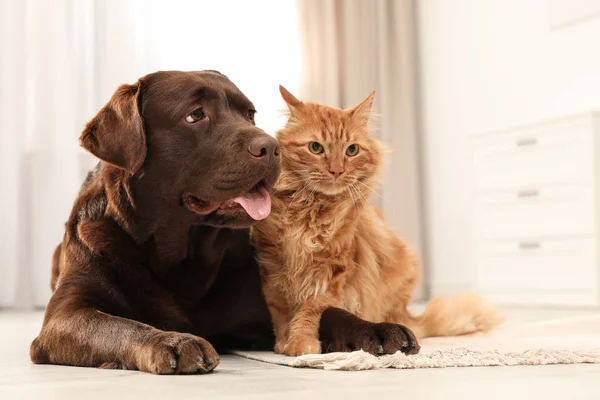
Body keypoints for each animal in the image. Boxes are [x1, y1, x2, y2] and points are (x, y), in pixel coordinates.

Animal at [251, 87, 504, 356]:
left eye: (352, 150)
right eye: (316, 147)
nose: (337, 171)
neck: (312, 209)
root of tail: (405, 314)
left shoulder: (333, 271)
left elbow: (311, 310)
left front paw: (301, 343)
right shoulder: (272, 265)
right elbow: (280, 311)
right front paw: (283, 343)